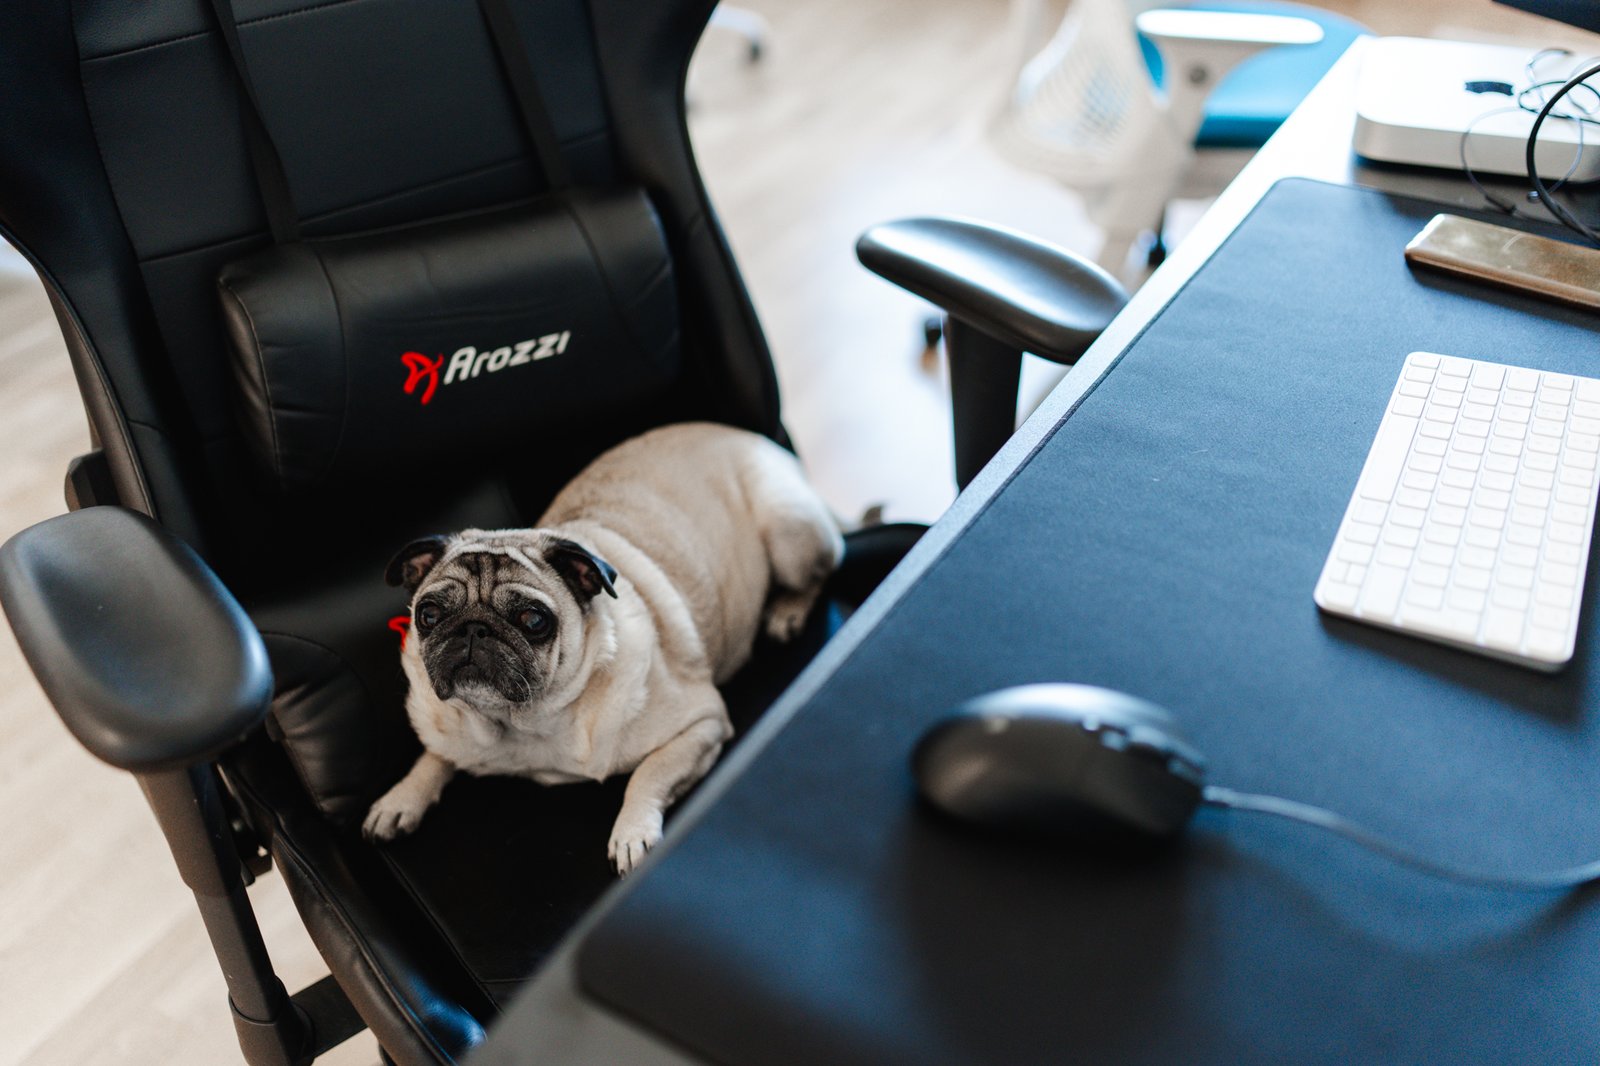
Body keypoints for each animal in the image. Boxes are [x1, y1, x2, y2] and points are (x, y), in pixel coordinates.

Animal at [362, 422, 844, 875]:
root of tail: (753, 437)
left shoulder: (703, 723)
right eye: (428, 614)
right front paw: (402, 797)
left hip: (789, 534)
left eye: (533, 620)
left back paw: (787, 611)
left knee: (824, 566)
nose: (474, 630)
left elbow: (647, 775)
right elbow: (434, 754)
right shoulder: (447, 730)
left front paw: (632, 833)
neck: (523, 725)